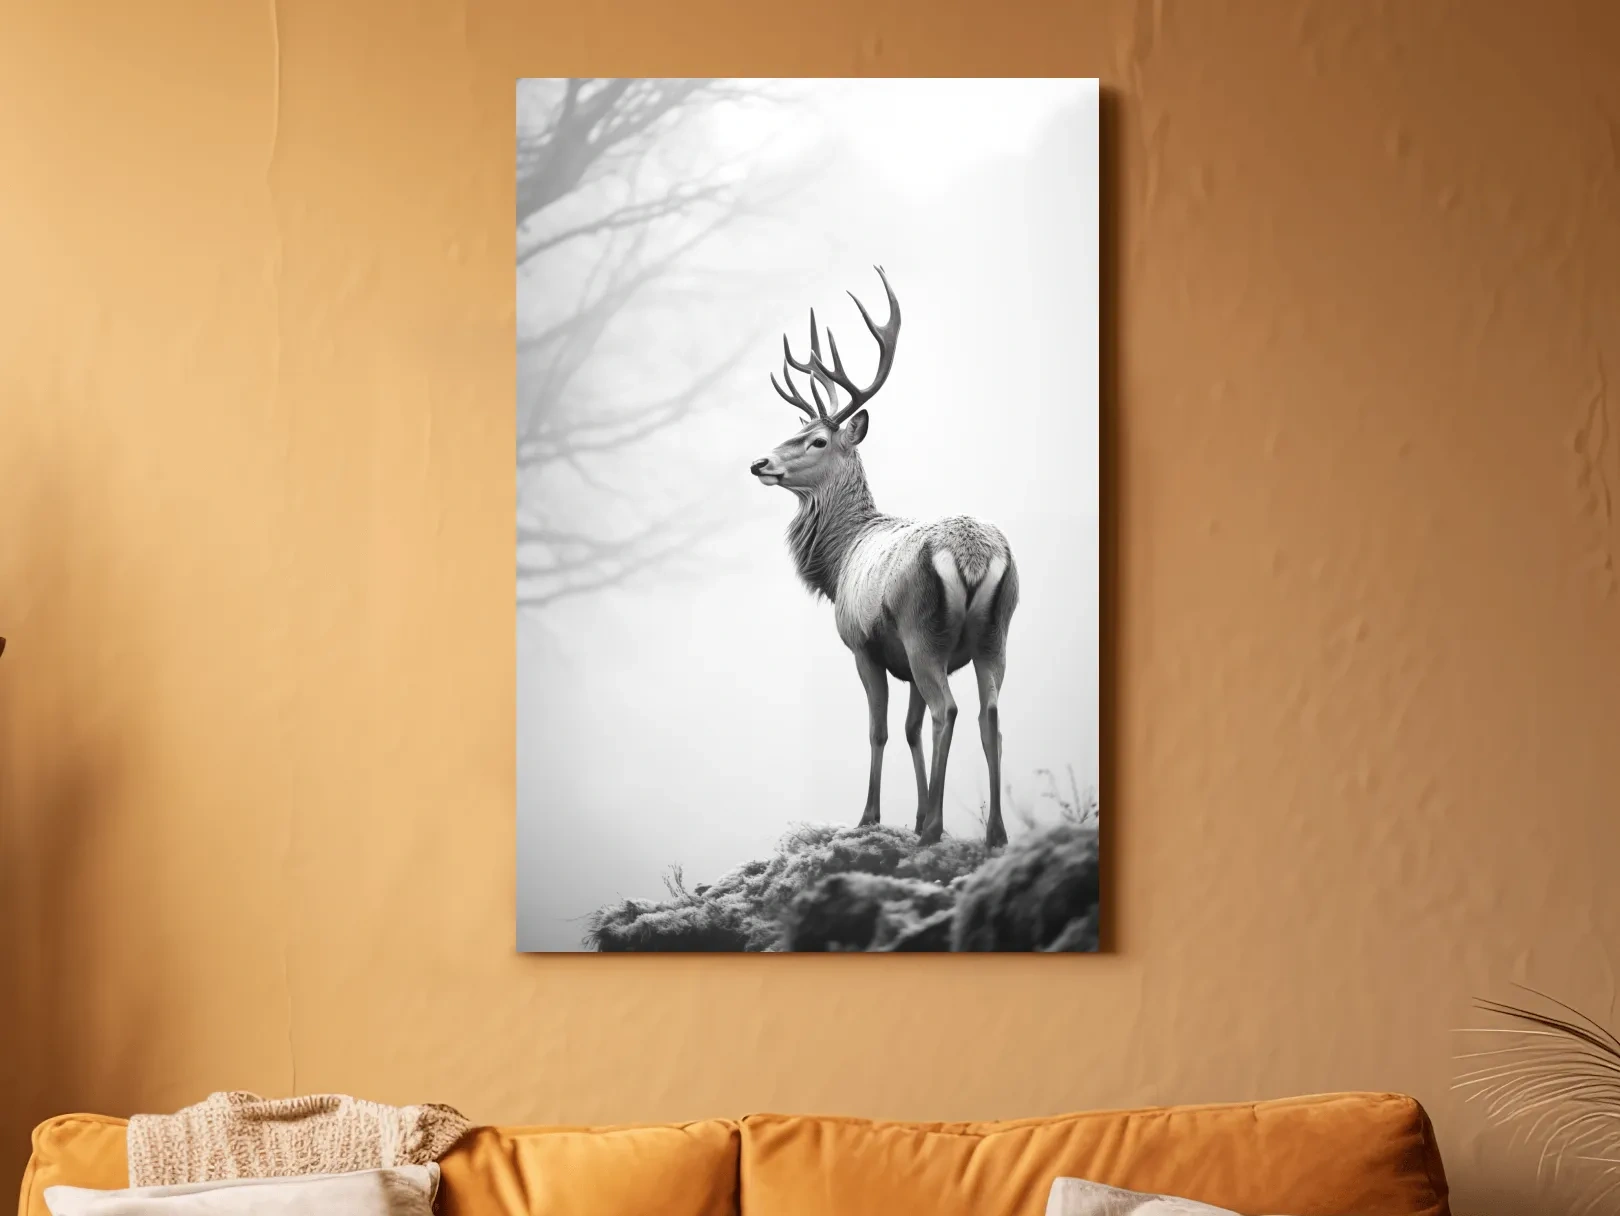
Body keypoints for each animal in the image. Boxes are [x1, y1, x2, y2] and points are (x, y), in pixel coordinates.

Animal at [749, 267, 1018, 849]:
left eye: (817, 440)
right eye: (795, 430)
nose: (759, 462)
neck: (839, 559)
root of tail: (972, 556)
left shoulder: (863, 644)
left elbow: (881, 730)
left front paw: (872, 816)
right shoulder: (905, 662)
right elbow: (911, 730)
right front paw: (913, 814)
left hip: (923, 629)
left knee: (949, 709)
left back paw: (936, 829)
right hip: (995, 633)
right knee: (988, 715)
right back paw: (994, 834)